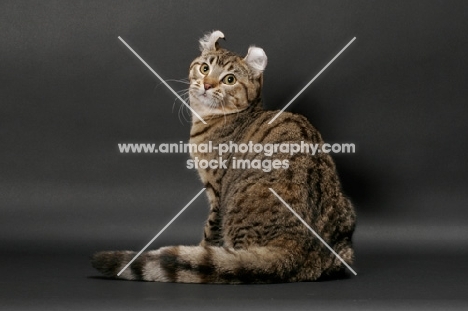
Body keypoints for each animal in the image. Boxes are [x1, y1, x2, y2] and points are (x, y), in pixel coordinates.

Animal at [90, 30, 354, 284]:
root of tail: (299, 249)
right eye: (205, 68)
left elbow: (209, 233)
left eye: (229, 79)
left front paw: (202, 249)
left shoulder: (216, 192)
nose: (207, 84)